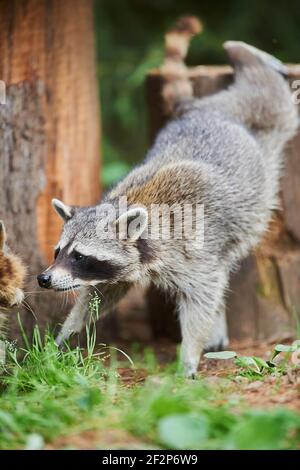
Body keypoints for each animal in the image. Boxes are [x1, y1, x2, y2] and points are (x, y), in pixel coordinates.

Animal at [37, 19, 298, 378]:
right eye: (58, 251)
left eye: (79, 256)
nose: (44, 278)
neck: (132, 207)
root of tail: (200, 110)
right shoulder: (126, 265)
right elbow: (103, 293)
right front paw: (69, 330)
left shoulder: (194, 250)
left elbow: (201, 297)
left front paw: (189, 354)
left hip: (256, 122)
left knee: (269, 98)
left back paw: (247, 56)